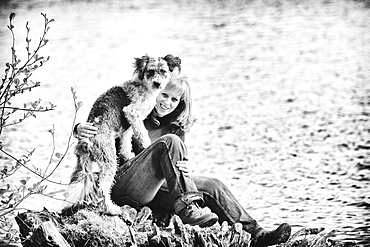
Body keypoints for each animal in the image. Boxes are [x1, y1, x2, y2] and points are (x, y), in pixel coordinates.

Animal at [64, 55, 182, 215]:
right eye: (151, 71)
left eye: (163, 71)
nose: (157, 83)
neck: (144, 87)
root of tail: (86, 142)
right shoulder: (132, 112)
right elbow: (142, 133)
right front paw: (147, 145)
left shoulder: (126, 128)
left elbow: (126, 143)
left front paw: (128, 156)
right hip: (109, 160)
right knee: (101, 189)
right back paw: (112, 209)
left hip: (83, 165)